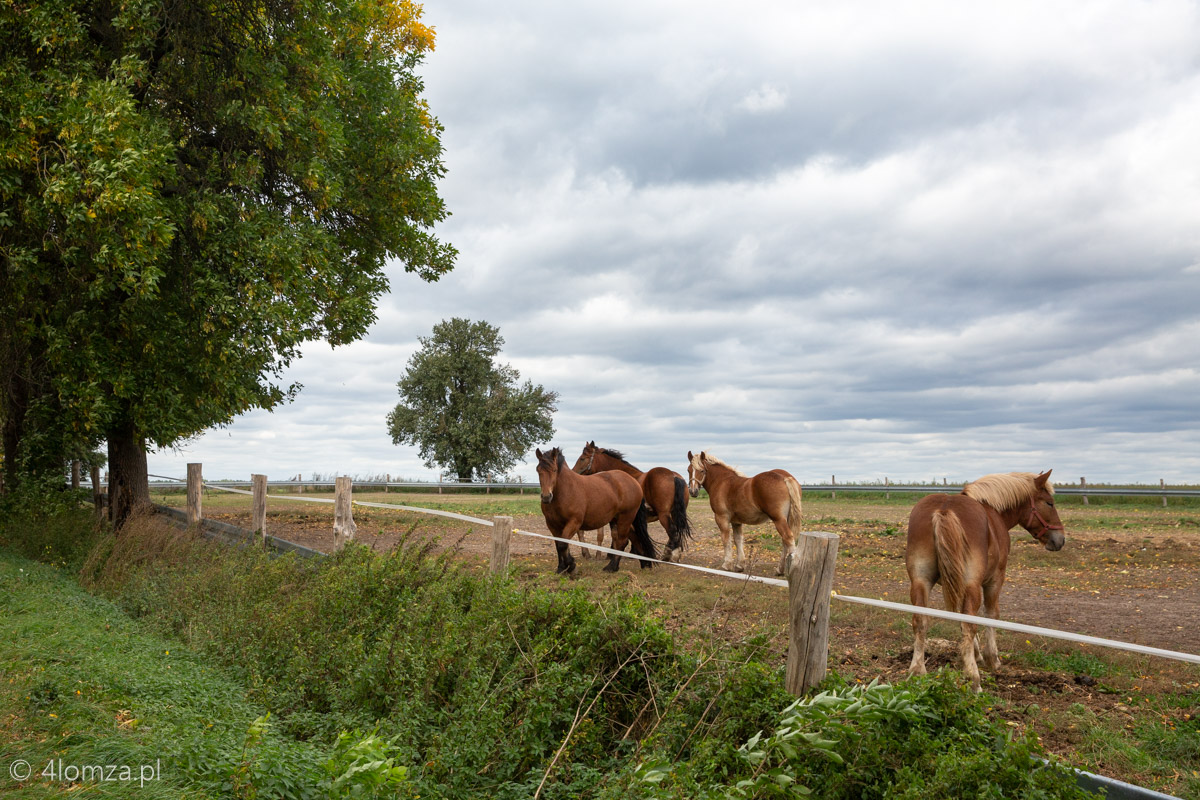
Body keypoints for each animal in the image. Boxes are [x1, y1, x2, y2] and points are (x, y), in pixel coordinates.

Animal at [902, 472, 1065, 690]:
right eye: (1049, 503)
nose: (1060, 539)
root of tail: (944, 509)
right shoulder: (994, 580)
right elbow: (989, 615)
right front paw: (991, 658)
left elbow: (961, 618)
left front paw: (974, 654)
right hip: (971, 583)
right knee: (970, 623)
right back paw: (974, 679)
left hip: (920, 582)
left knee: (920, 621)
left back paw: (917, 670)